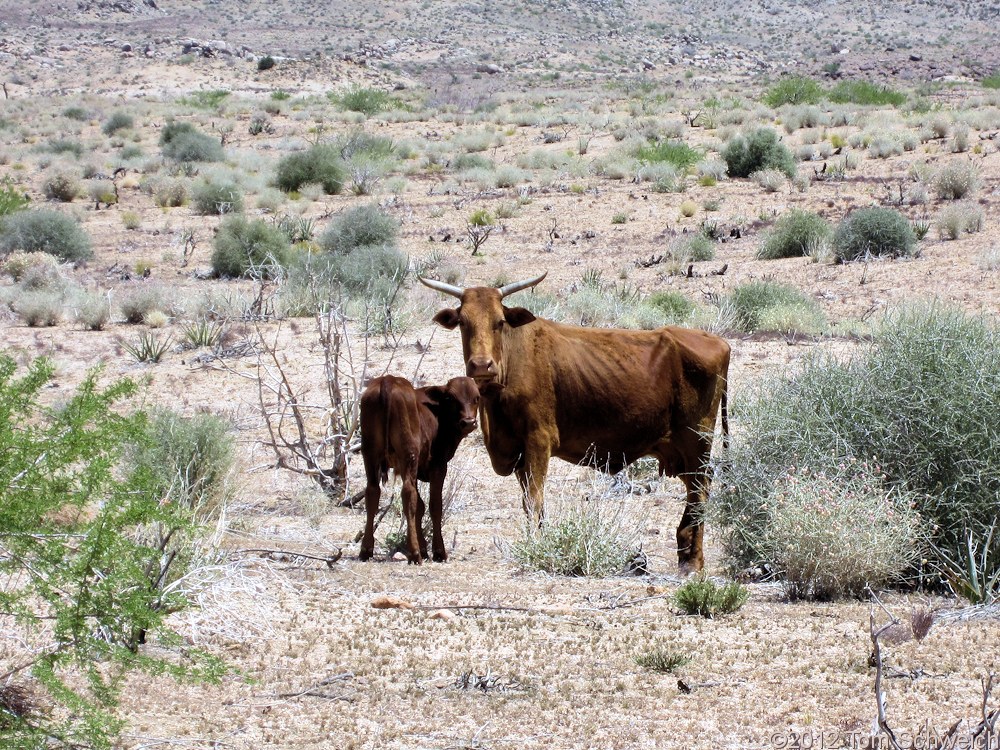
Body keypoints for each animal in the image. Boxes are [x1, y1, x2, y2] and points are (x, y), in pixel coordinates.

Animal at [360, 376, 480, 564]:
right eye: (451, 398)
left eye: (477, 398)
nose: (469, 422)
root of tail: (388, 380)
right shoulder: (438, 465)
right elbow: (434, 506)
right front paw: (438, 551)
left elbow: (420, 507)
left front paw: (424, 548)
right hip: (408, 455)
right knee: (408, 493)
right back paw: (414, 553)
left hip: (370, 454)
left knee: (372, 492)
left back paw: (366, 549)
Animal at [418, 274, 732, 572]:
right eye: (463, 322)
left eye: (499, 322)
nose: (481, 365)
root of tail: (719, 342)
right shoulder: (519, 454)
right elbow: (529, 504)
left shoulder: (538, 441)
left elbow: (535, 500)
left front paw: (535, 547)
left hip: (697, 441)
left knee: (700, 490)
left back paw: (693, 562)